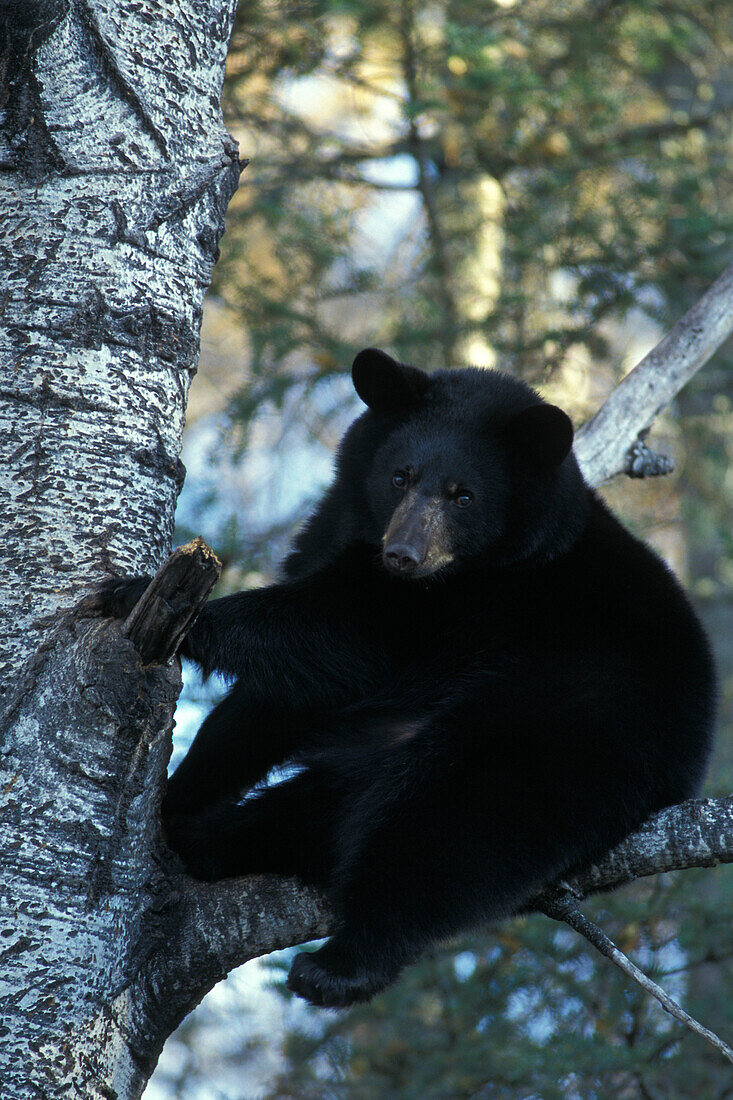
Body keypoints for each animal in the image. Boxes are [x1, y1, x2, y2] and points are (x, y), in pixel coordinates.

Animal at [96, 349, 713, 1007]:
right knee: (318, 811)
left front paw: (139, 595)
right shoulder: (340, 536)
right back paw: (202, 838)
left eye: (464, 495)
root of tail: (690, 764)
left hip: (565, 722)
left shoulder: (462, 610)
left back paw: (340, 967)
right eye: (401, 475)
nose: (405, 555)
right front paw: (179, 793)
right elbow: (268, 708)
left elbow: (329, 635)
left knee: (449, 825)